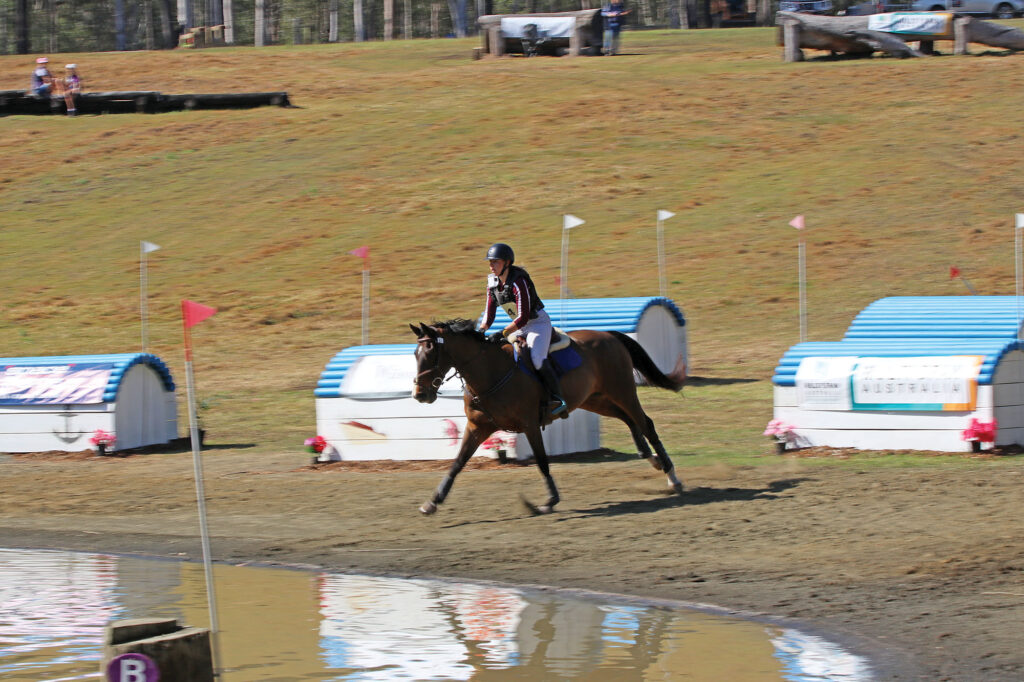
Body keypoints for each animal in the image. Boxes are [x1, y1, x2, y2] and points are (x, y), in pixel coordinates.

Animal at [409, 319, 688, 516]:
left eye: (431, 351)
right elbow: (457, 463)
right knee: (628, 420)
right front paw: (433, 501)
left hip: (623, 392)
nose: (420, 394)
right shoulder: (478, 427)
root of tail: (609, 335)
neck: (489, 373)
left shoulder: (529, 425)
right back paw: (651, 459)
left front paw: (549, 501)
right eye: (415, 353)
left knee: (645, 423)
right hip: (594, 399)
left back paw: (672, 477)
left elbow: (542, 462)